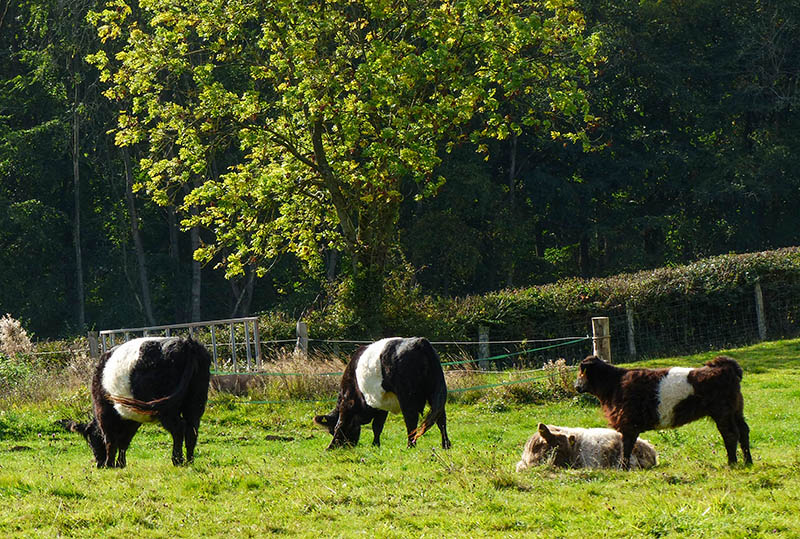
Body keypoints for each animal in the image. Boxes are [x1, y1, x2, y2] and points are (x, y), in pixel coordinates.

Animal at [59, 336, 211, 468]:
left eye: (91, 441)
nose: (98, 464)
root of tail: (186, 343)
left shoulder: (105, 413)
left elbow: (110, 440)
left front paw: (110, 464)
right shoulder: (132, 419)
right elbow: (124, 442)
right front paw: (120, 464)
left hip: (167, 409)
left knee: (179, 429)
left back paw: (177, 460)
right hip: (195, 402)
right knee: (192, 430)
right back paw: (190, 461)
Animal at [313, 337, 451, 450]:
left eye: (331, 431)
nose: (346, 446)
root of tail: (419, 341)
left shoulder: (349, 404)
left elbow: (342, 423)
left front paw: (330, 446)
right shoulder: (381, 405)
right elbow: (378, 427)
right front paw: (376, 445)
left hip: (407, 396)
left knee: (411, 420)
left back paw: (410, 446)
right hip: (435, 392)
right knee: (441, 419)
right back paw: (445, 445)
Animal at [574, 355, 752, 469]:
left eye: (581, 373)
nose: (576, 386)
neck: (614, 384)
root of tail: (726, 367)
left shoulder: (628, 425)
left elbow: (626, 448)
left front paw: (623, 469)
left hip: (723, 413)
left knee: (731, 435)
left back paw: (732, 463)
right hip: (737, 411)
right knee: (744, 432)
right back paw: (748, 462)